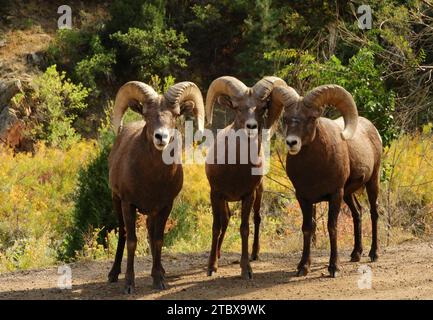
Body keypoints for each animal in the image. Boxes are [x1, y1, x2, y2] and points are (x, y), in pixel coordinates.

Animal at [107, 80, 203, 292]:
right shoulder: (128, 204)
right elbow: (132, 241)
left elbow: (158, 240)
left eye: (175, 114)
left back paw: (159, 271)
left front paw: (159, 280)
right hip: (116, 201)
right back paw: (113, 274)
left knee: (151, 234)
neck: (152, 179)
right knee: (123, 234)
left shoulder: (165, 206)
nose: (161, 137)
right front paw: (129, 284)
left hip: (151, 212)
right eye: (146, 115)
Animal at [206, 76, 286, 278]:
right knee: (224, 221)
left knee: (256, 219)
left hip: (259, 192)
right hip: (225, 200)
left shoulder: (248, 195)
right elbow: (216, 227)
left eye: (262, 107)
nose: (251, 127)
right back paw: (218, 255)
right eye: (237, 107)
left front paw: (246, 269)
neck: (235, 169)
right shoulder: (216, 194)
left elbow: (244, 228)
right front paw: (211, 267)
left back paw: (255, 254)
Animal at [272, 84, 380, 276]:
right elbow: (308, 228)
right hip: (348, 194)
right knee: (358, 212)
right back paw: (355, 254)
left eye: (312, 117)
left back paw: (373, 254)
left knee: (374, 213)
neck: (314, 170)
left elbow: (332, 226)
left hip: (372, 181)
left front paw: (333, 267)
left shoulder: (335, 194)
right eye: (285, 118)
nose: (292, 142)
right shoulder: (303, 198)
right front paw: (303, 267)